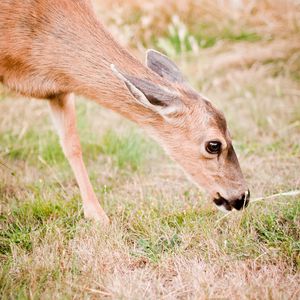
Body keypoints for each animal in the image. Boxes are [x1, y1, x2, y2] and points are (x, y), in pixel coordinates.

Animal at [0, 0, 248, 225]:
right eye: (213, 144)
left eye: (231, 133)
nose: (243, 197)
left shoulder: (59, 90)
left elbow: (72, 145)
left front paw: (97, 216)